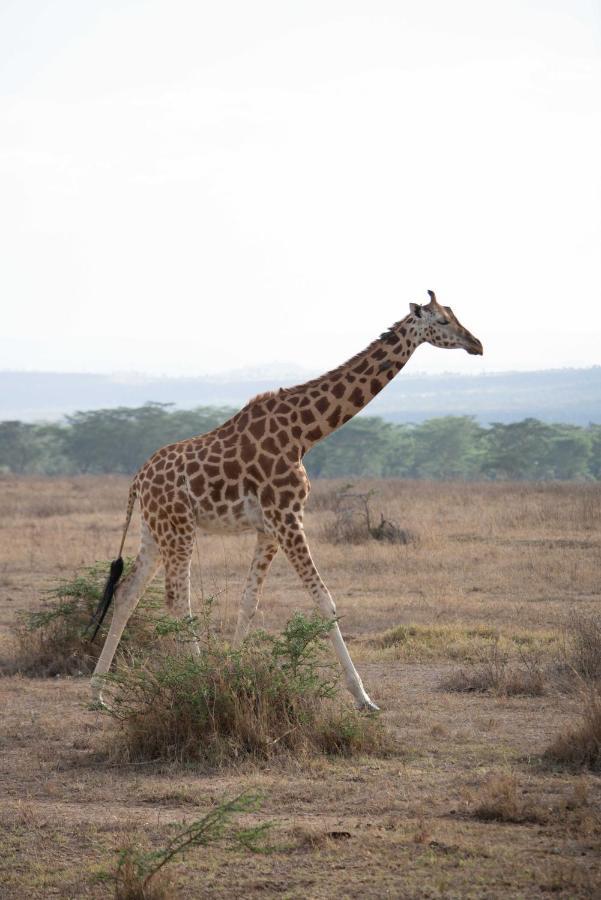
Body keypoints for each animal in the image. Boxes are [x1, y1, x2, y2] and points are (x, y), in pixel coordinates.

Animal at [90, 290, 482, 712]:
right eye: (442, 321)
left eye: (454, 315)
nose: (477, 344)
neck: (303, 433)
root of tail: (137, 481)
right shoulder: (289, 516)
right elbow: (324, 600)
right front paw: (363, 698)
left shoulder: (269, 528)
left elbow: (249, 603)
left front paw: (232, 673)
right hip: (179, 529)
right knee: (178, 600)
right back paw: (195, 681)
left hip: (154, 531)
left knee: (128, 592)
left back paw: (98, 693)